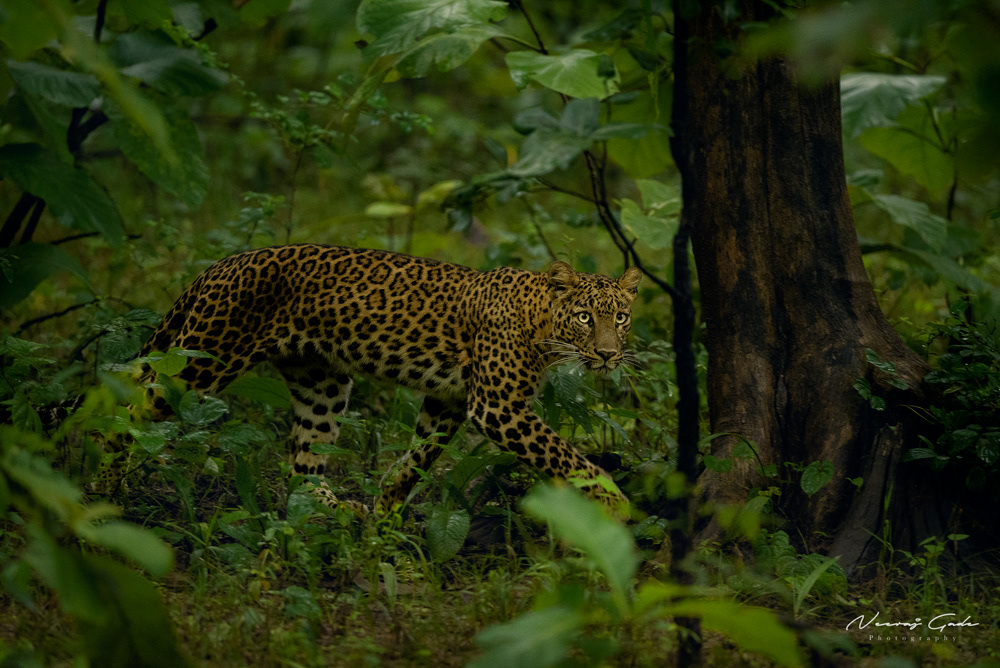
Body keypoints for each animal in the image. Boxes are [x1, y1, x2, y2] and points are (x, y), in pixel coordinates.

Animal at [129, 244, 641, 516]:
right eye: (584, 317)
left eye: (620, 317)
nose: (608, 354)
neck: (542, 323)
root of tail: (221, 265)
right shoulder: (498, 407)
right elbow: (569, 459)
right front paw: (615, 505)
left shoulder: (447, 401)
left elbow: (416, 459)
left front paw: (386, 511)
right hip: (200, 362)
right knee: (133, 407)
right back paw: (109, 479)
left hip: (322, 384)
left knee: (303, 466)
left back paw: (332, 509)